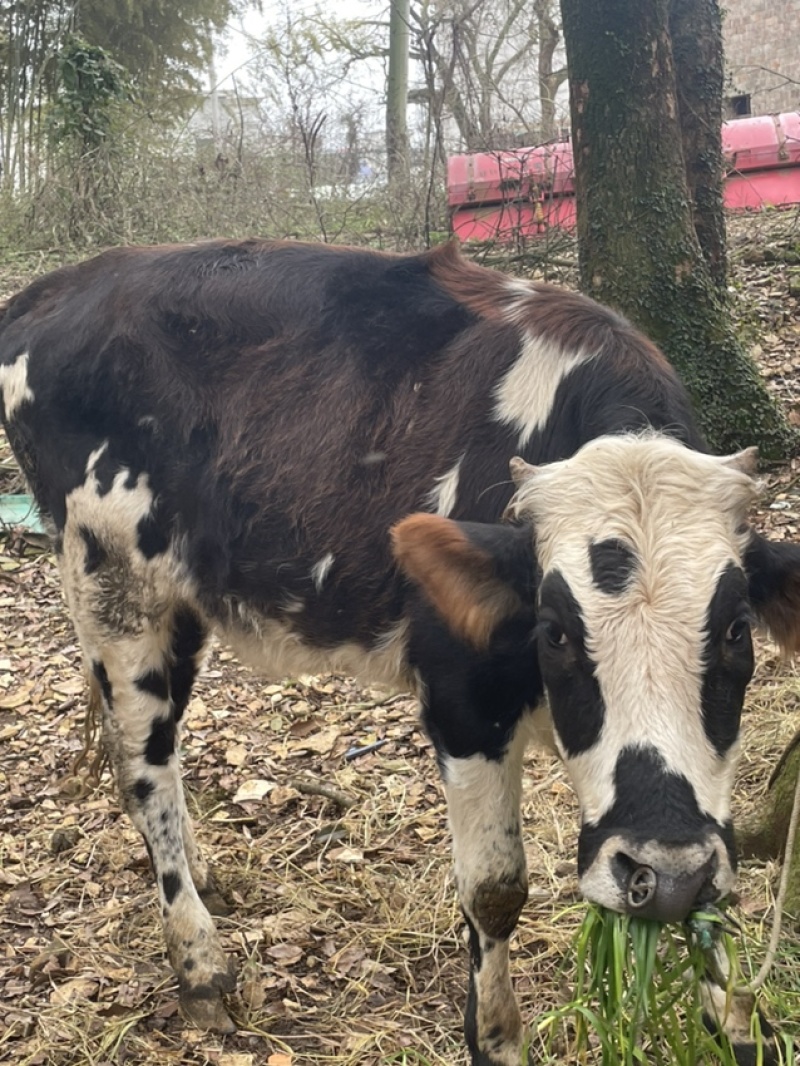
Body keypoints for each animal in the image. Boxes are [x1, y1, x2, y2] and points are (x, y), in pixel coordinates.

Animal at [0, 241, 797, 1066]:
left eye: (737, 628)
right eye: (555, 631)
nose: (661, 874)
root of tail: (62, 284)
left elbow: (716, 896)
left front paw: (740, 1024)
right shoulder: (462, 698)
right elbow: (495, 889)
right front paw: (495, 1036)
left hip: (181, 606)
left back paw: (205, 873)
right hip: (115, 591)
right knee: (143, 772)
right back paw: (198, 962)